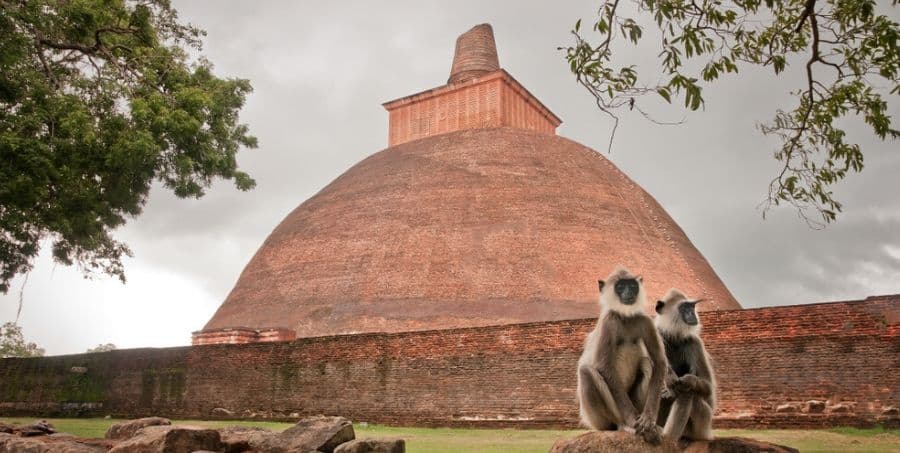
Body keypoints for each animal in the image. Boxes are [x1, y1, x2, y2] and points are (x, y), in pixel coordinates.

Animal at [576, 266, 668, 444]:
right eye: (620, 287)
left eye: (632, 286)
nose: (628, 292)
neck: (625, 317)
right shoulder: (608, 322)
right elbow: (604, 367)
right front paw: (632, 421)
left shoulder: (645, 320)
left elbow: (659, 361)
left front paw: (649, 420)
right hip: (598, 419)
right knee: (586, 372)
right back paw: (624, 425)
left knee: (646, 363)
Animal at [652, 288, 716, 440]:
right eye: (684, 307)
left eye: (692, 307)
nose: (692, 313)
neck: (673, 336)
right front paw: (668, 377)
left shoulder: (695, 342)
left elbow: (708, 388)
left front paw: (689, 380)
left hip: (703, 426)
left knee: (689, 393)